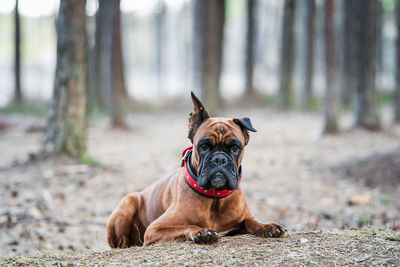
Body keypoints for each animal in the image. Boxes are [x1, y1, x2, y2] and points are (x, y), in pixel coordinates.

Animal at [107, 92, 284, 249]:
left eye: (235, 148)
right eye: (203, 146)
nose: (219, 159)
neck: (214, 198)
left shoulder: (241, 221)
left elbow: (250, 221)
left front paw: (267, 226)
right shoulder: (155, 229)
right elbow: (186, 226)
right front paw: (202, 233)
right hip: (129, 201)